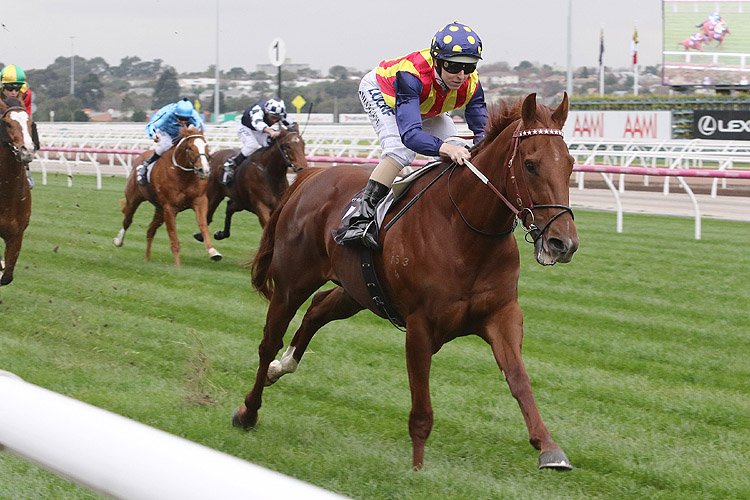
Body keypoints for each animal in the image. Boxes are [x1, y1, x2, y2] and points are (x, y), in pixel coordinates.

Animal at [113, 127, 222, 268]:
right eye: (190, 148)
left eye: (206, 146)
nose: (204, 170)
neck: (183, 175)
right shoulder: (170, 207)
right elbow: (173, 235)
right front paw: (178, 266)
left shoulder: (200, 200)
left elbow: (203, 225)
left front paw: (213, 252)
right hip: (134, 199)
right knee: (127, 220)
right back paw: (118, 241)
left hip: (159, 209)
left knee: (150, 229)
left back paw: (147, 258)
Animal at [235, 94, 580, 472]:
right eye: (531, 165)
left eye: (570, 164)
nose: (563, 243)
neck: (467, 231)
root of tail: (313, 175)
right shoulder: (420, 325)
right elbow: (421, 404)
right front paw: (417, 468)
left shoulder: (502, 314)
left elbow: (519, 379)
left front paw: (549, 447)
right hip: (291, 283)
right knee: (269, 342)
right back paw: (248, 411)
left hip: (356, 290)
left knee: (317, 309)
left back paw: (282, 366)